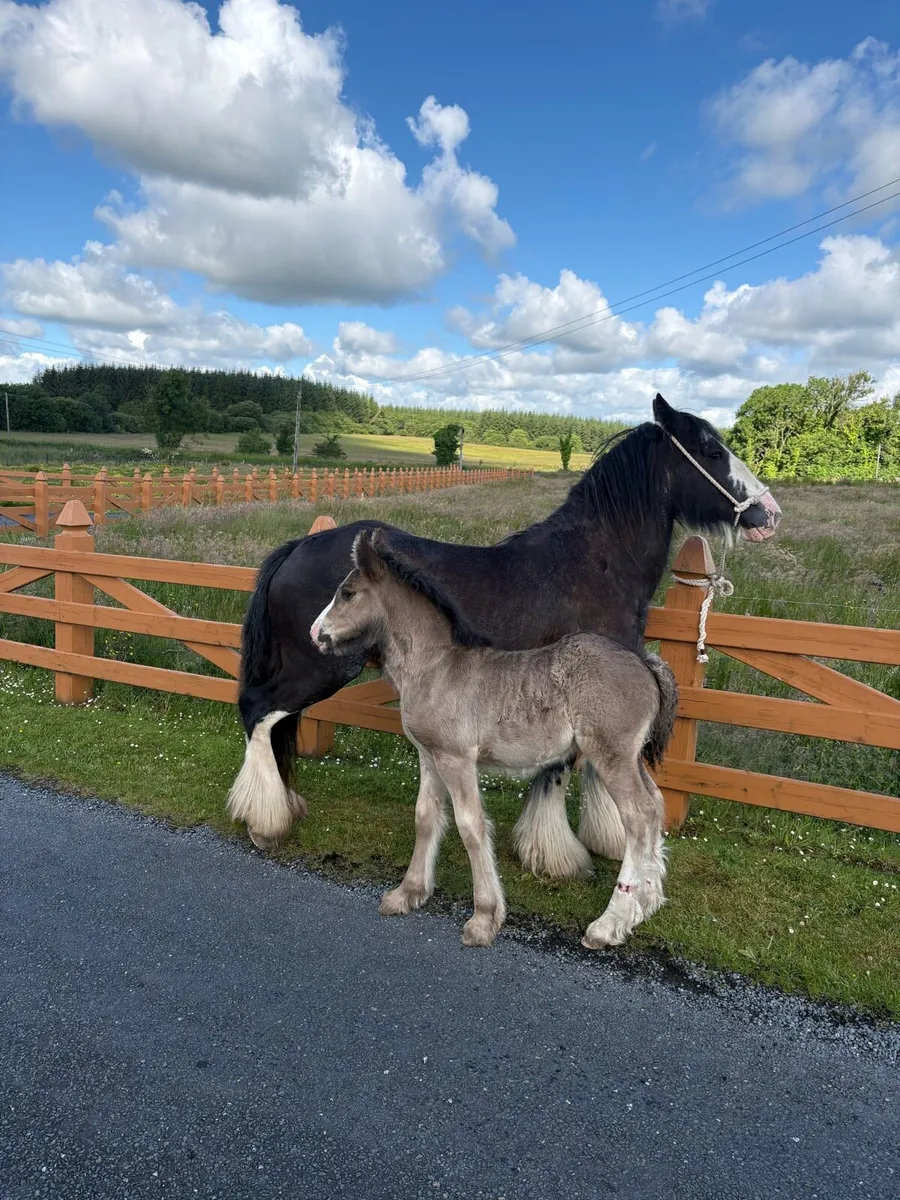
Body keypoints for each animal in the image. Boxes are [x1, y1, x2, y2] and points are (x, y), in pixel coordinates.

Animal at [227, 393, 781, 863]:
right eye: (711, 450)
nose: (769, 513)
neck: (591, 562)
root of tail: (298, 546)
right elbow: (560, 771)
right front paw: (556, 854)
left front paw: (599, 841)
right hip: (317, 665)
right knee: (259, 709)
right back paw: (265, 819)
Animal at [310, 528, 678, 949]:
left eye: (347, 593)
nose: (315, 633)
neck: (435, 667)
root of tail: (645, 663)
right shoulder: (428, 755)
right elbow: (425, 817)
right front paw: (408, 893)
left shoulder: (456, 758)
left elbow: (471, 826)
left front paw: (484, 917)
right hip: (630, 757)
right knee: (654, 805)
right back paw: (646, 904)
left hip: (611, 756)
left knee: (638, 815)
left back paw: (609, 923)